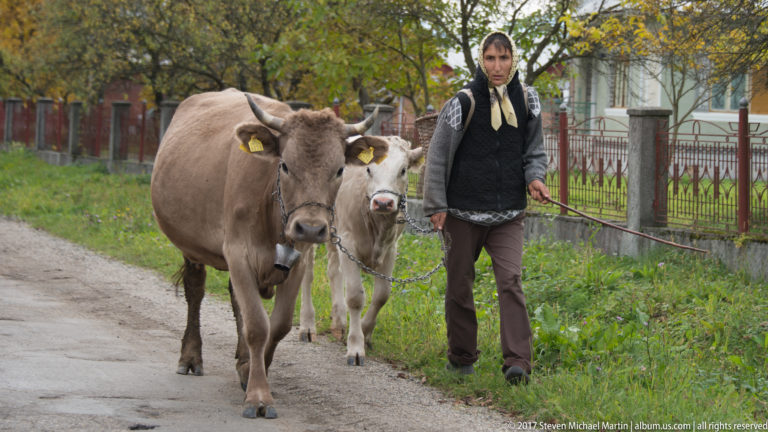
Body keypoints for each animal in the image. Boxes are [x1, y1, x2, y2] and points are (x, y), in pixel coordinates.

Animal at [150, 88, 386, 419]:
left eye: (339, 169)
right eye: (285, 165)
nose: (310, 228)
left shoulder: (295, 263)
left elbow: (279, 324)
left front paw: (250, 368)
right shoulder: (238, 253)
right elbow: (257, 327)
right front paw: (258, 396)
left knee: (236, 301)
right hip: (191, 246)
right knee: (195, 292)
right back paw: (191, 356)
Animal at [298, 136, 423, 365]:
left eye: (403, 170)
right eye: (368, 170)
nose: (383, 202)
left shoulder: (390, 249)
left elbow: (382, 295)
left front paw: (365, 331)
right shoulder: (349, 243)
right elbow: (355, 296)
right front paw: (356, 347)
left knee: (333, 271)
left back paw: (338, 323)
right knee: (308, 274)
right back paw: (307, 326)